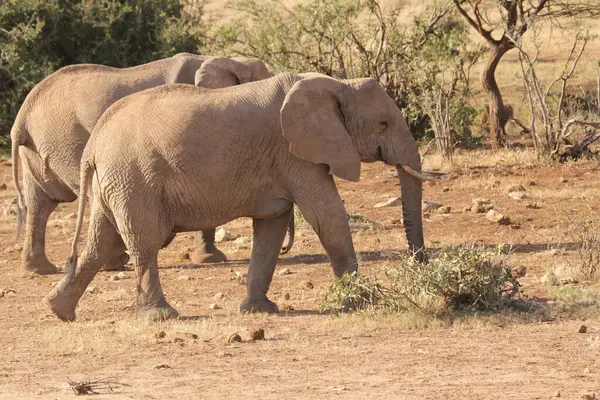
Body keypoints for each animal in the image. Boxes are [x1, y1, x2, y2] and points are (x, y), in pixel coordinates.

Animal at [8, 53, 290, 276]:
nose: (286, 249)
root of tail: (22, 116)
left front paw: (211, 258)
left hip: (38, 147)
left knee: (40, 204)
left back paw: (40, 270)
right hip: (68, 140)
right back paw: (115, 263)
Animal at [44, 71, 438, 322]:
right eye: (383, 124)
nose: (421, 265)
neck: (338, 84)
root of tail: (94, 142)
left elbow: (272, 226)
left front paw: (259, 311)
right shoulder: (295, 151)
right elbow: (327, 215)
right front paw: (362, 303)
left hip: (114, 181)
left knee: (102, 240)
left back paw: (59, 311)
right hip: (133, 177)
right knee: (142, 240)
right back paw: (160, 316)